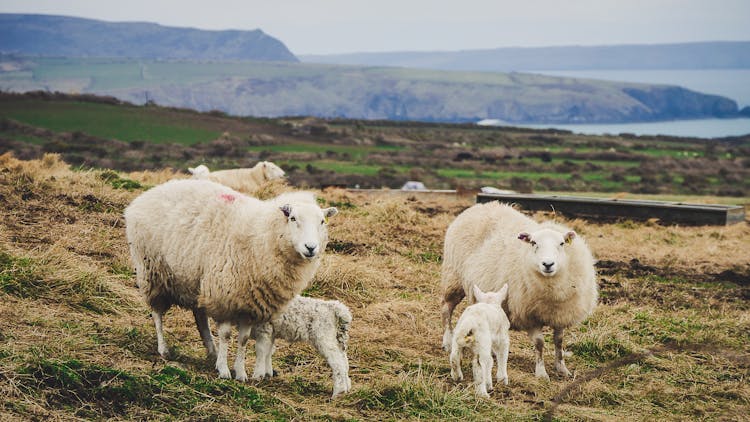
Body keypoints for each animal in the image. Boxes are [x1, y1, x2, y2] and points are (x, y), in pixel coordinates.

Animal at [125, 180, 340, 380]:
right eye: (293, 218)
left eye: (322, 221)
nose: (311, 248)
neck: (262, 236)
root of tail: (148, 194)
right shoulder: (224, 296)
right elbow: (226, 335)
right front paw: (224, 370)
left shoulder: (249, 305)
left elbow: (243, 339)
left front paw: (241, 372)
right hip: (152, 272)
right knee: (157, 313)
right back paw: (164, 349)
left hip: (197, 281)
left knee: (199, 316)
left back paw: (211, 351)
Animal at [440, 200, 600, 380]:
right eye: (533, 243)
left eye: (561, 243)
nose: (548, 264)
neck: (552, 289)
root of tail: (479, 206)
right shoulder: (530, 315)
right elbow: (539, 343)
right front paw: (541, 373)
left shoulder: (561, 314)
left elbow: (559, 341)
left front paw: (562, 368)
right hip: (453, 277)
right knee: (446, 309)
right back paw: (447, 341)